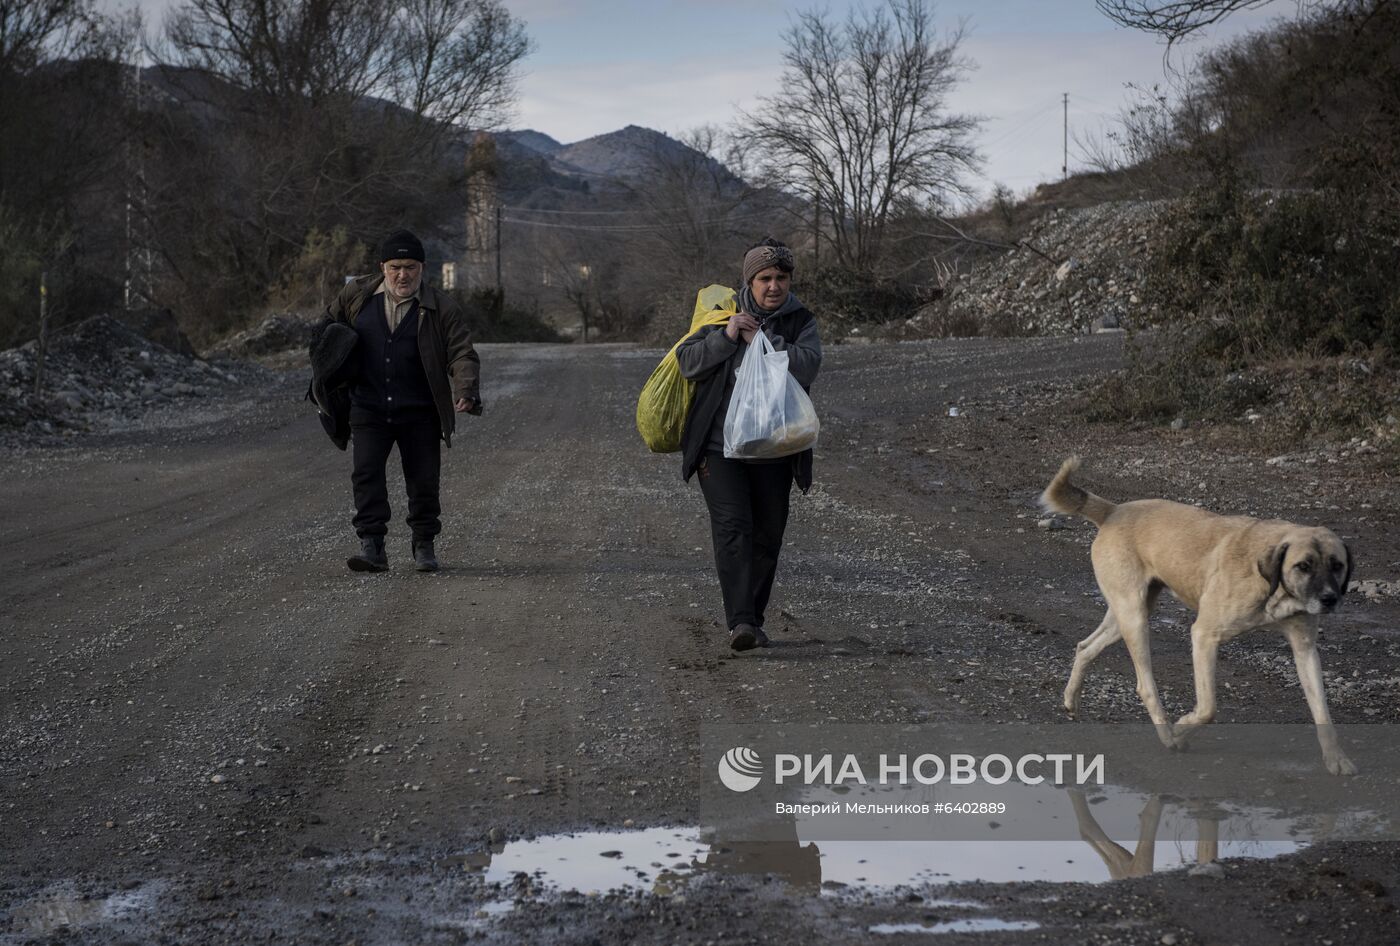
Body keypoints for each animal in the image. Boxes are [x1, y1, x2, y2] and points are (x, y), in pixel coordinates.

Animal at [1041, 459, 1355, 778]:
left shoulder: (1305, 649)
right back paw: (1167, 735)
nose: (1330, 599)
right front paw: (1181, 730)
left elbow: (1322, 710)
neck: (1272, 584)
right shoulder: (1204, 635)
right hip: (1134, 618)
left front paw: (1336, 758)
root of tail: (1113, 511)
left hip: (1124, 615)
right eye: (1303, 566)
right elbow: (1208, 708)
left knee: (1085, 646)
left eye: (1337, 565)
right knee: (1145, 685)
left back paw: (1071, 700)